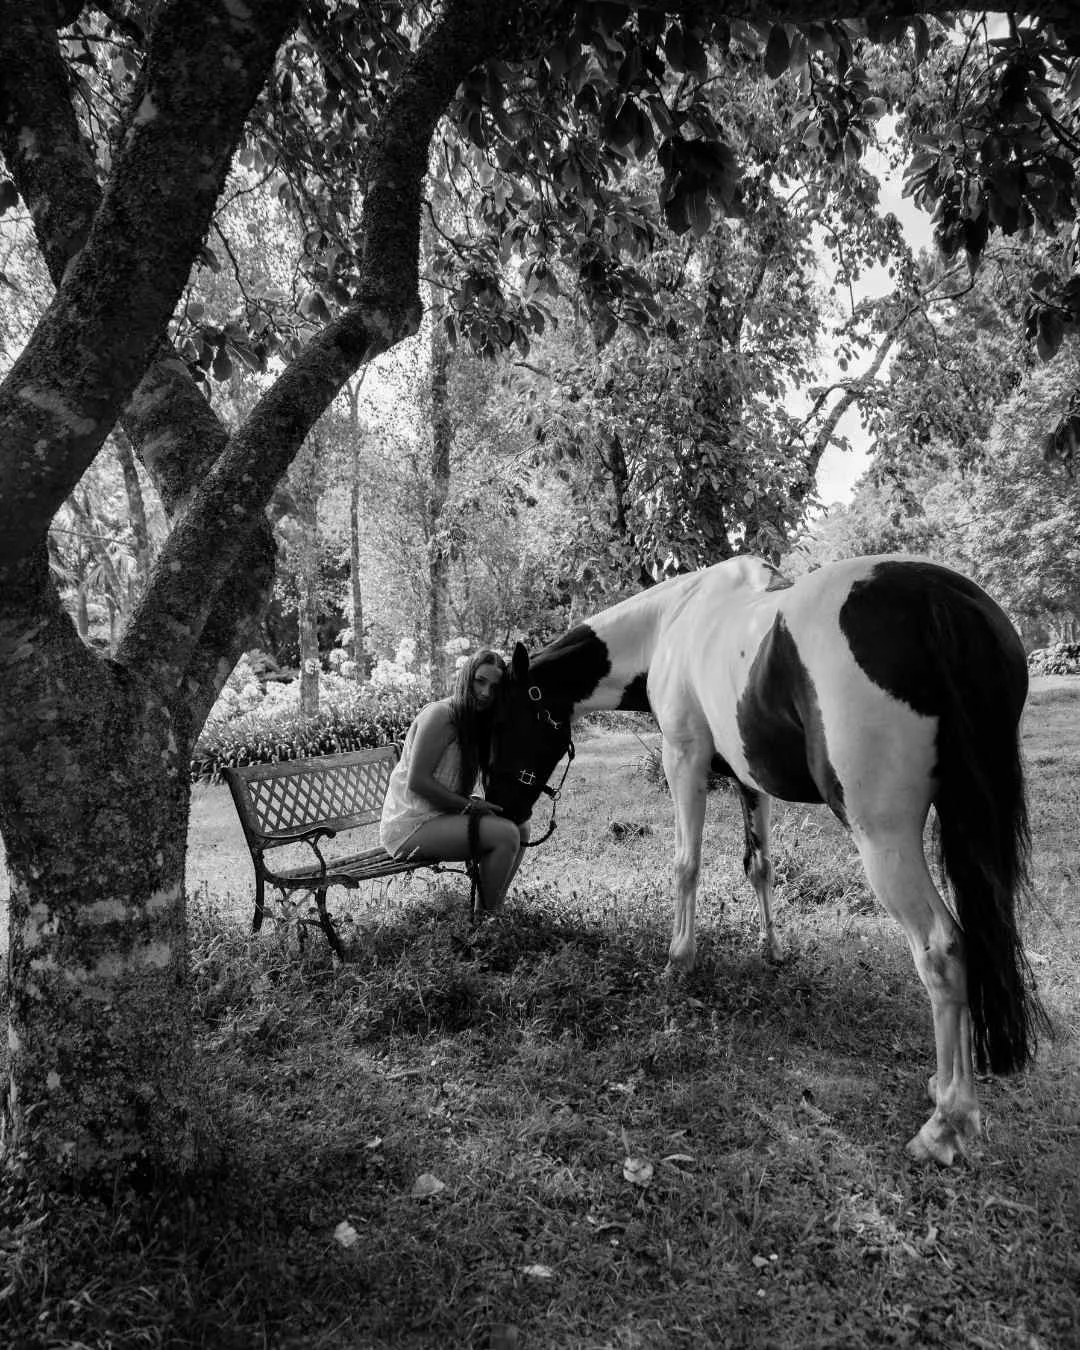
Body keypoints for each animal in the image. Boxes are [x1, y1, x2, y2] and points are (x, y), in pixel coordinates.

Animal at [485, 554, 1049, 1165]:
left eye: (506, 720)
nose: (499, 805)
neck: (673, 621)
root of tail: (937, 598)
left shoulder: (684, 759)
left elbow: (686, 864)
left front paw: (678, 961)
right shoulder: (748, 780)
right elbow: (760, 868)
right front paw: (772, 950)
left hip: (883, 838)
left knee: (942, 949)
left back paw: (946, 1123)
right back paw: (951, 1096)